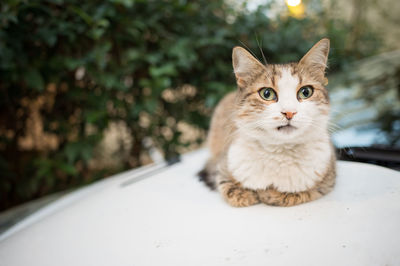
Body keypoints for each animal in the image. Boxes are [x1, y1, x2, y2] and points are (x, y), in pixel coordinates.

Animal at [199, 38, 334, 207]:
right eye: (267, 94)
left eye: (306, 92)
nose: (289, 112)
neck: (280, 151)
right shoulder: (224, 164)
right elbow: (228, 186)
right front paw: (247, 194)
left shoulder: (327, 178)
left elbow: (299, 192)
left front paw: (270, 193)